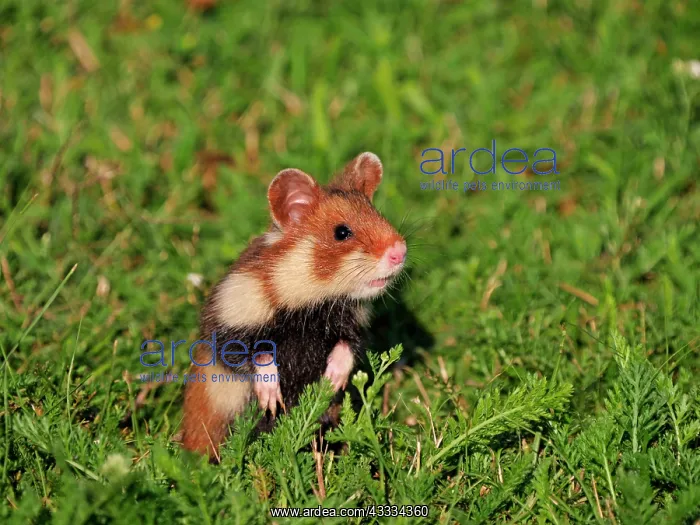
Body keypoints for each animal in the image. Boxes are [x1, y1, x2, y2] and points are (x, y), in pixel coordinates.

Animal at [181, 152, 407, 460]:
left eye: (378, 214)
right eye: (342, 232)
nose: (401, 252)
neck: (310, 298)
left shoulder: (351, 322)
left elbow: (348, 346)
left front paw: (331, 381)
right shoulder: (226, 322)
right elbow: (255, 354)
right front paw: (271, 400)